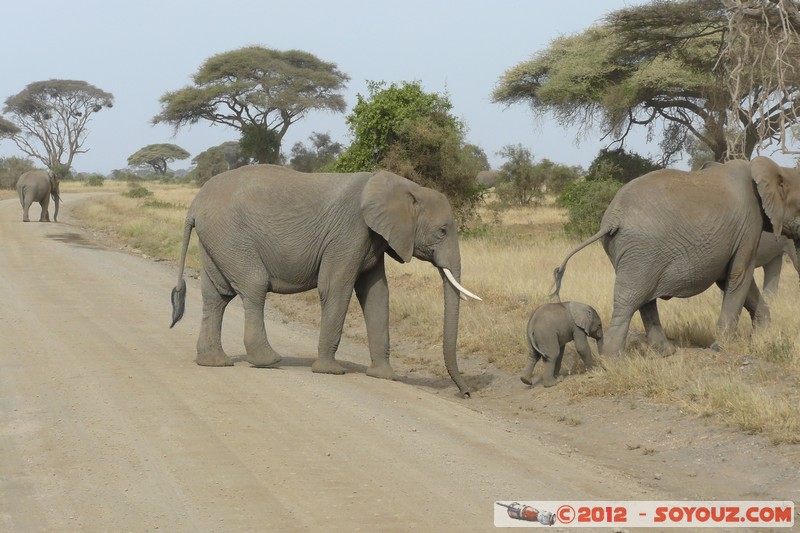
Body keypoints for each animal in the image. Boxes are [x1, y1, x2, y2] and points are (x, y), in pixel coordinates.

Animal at [170, 164, 482, 396]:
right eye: (442, 231)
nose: (465, 393)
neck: (404, 186)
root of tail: (195, 204)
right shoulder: (349, 233)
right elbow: (336, 288)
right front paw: (330, 371)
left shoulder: (373, 238)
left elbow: (377, 295)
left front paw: (385, 376)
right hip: (232, 238)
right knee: (254, 287)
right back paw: (269, 361)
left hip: (216, 240)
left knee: (217, 296)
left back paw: (215, 363)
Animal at [552, 157, 800, 358]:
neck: (774, 169)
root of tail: (613, 219)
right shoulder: (749, 224)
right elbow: (739, 276)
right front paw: (724, 347)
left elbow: (733, 280)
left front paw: (762, 336)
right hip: (642, 249)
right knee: (630, 298)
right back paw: (612, 359)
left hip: (633, 252)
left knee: (644, 299)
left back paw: (666, 352)